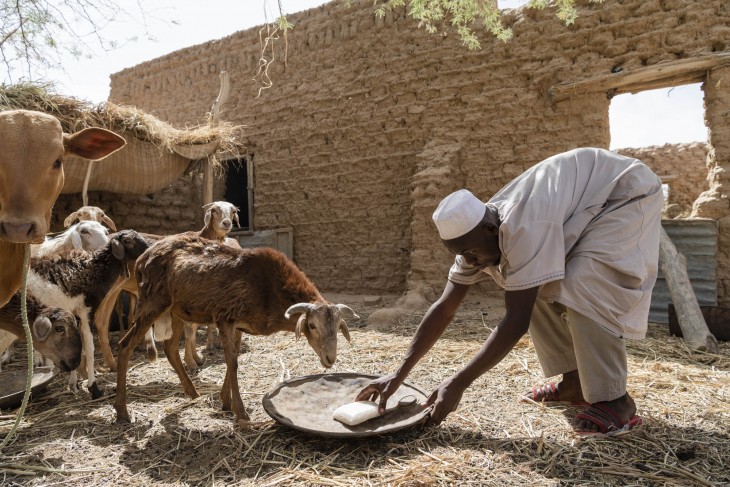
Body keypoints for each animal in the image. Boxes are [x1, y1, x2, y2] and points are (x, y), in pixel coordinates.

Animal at [113, 234, 358, 426]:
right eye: (312, 325)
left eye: (338, 326)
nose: (330, 358)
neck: (270, 290)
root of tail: (143, 258)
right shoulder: (224, 318)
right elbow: (232, 362)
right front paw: (240, 412)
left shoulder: (239, 325)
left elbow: (234, 358)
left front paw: (225, 401)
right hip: (151, 302)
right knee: (125, 346)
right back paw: (122, 412)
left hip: (176, 310)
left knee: (171, 348)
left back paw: (193, 393)